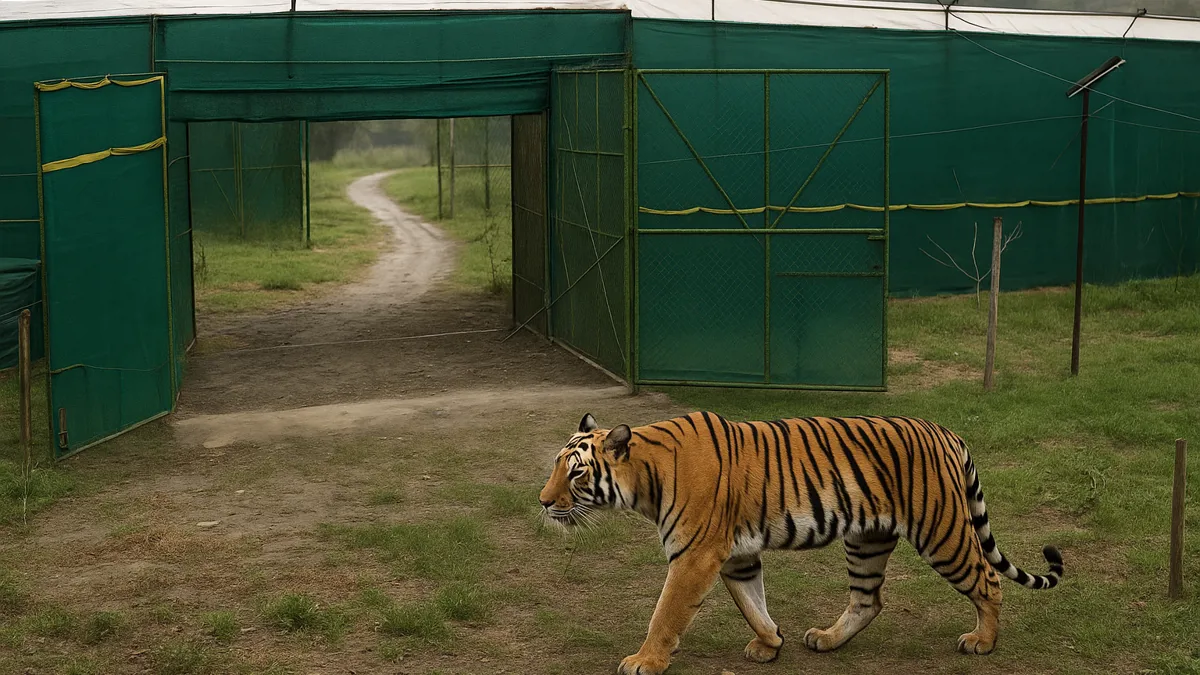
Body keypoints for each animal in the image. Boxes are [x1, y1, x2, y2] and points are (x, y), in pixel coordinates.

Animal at [538, 411, 1063, 675]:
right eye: (556, 466)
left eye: (576, 472)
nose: (542, 502)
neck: (644, 478)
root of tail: (947, 432)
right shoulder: (736, 556)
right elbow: (753, 602)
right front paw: (771, 642)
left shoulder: (694, 557)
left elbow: (665, 614)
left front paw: (644, 661)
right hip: (866, 539)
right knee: (869, 600)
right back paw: (826, 639)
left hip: (943, 531)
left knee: (989, 580)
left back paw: (983, 642)